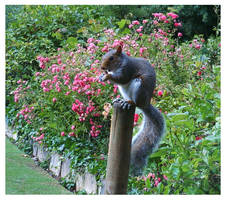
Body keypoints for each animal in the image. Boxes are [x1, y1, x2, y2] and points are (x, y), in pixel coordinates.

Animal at [100, 45, 165, 175]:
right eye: (103, 56)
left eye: (111, 58)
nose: (102, 68)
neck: (120, 64)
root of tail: (145, 104)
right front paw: (102, 76)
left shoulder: (128, 70)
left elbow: (122, 79)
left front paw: (107, 76)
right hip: (124, 90)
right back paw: (121, 100)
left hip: (138, 86)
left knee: (135, 102)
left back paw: (129, 102)